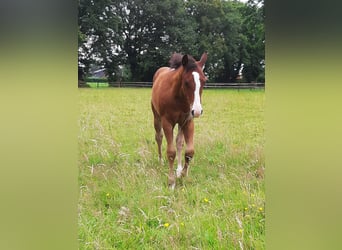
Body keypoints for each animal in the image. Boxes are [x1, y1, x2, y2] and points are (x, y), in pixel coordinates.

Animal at [151, 53, 207, 189]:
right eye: (186, 82)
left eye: (204, 81)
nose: (197, 111)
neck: (178, 97)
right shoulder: (167, 122)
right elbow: (171, 152)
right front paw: (171, 182)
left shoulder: (188, 122)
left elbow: (189, 151)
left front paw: (182, 175)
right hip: (156, 116)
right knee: (159, 137)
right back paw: (160, 161)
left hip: (181, 123)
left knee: (179, 142)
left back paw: (179, 169)